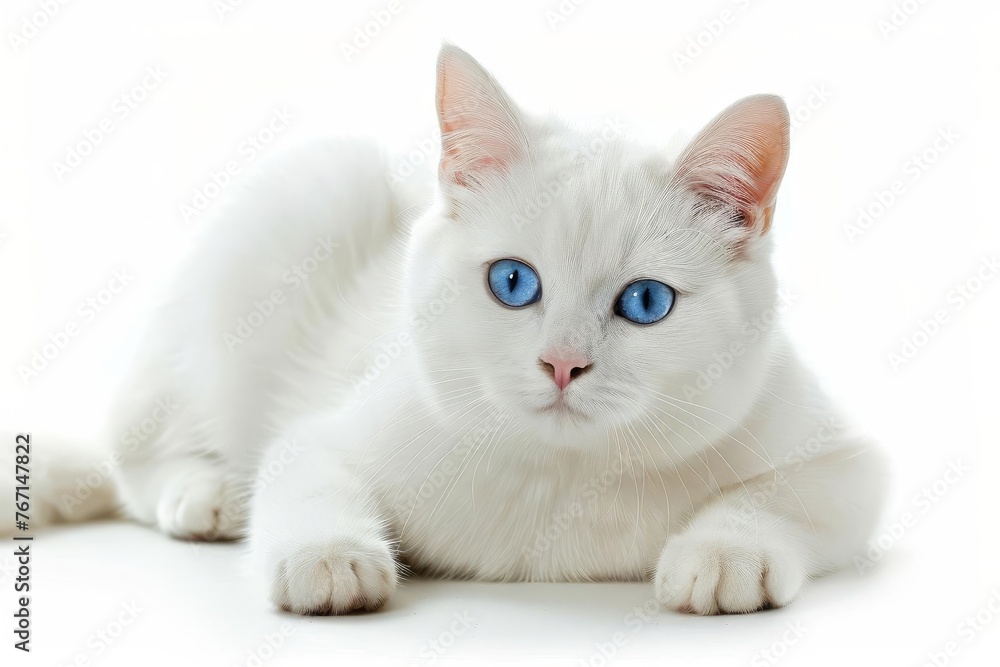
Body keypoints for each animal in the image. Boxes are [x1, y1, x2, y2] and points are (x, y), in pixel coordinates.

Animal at [29, 45, 892, 616]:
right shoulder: (331, 431)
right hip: (292, 208)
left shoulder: (847, 460)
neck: (560, 475)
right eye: (513, 282)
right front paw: (331, 555)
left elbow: (781, 495)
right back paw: (205, 493)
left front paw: (723, 552)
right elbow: (306, 472)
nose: (562, 364)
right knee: (136, 451)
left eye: (646, 302)